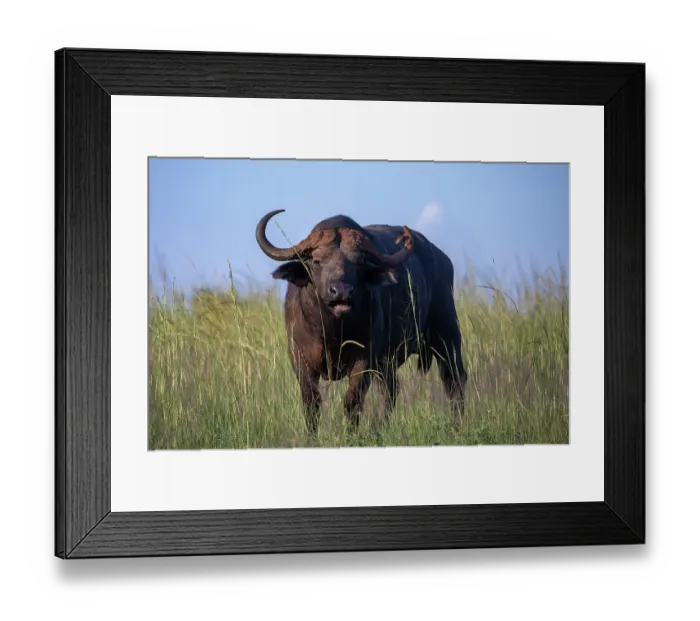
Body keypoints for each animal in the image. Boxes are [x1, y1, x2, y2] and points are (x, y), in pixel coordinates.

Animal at [255, 209, 468, 435]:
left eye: (358, 262)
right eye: (317, 261)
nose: (341, 291)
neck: (332, 332)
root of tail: (443, 259)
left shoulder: (365, 358)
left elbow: (353, 400)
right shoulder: (300, 356)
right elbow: (311, 402)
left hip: (447, 336)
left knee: (454, 380)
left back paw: (457, 424)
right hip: (389, 361)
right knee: (390, 391)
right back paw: (379, 428)